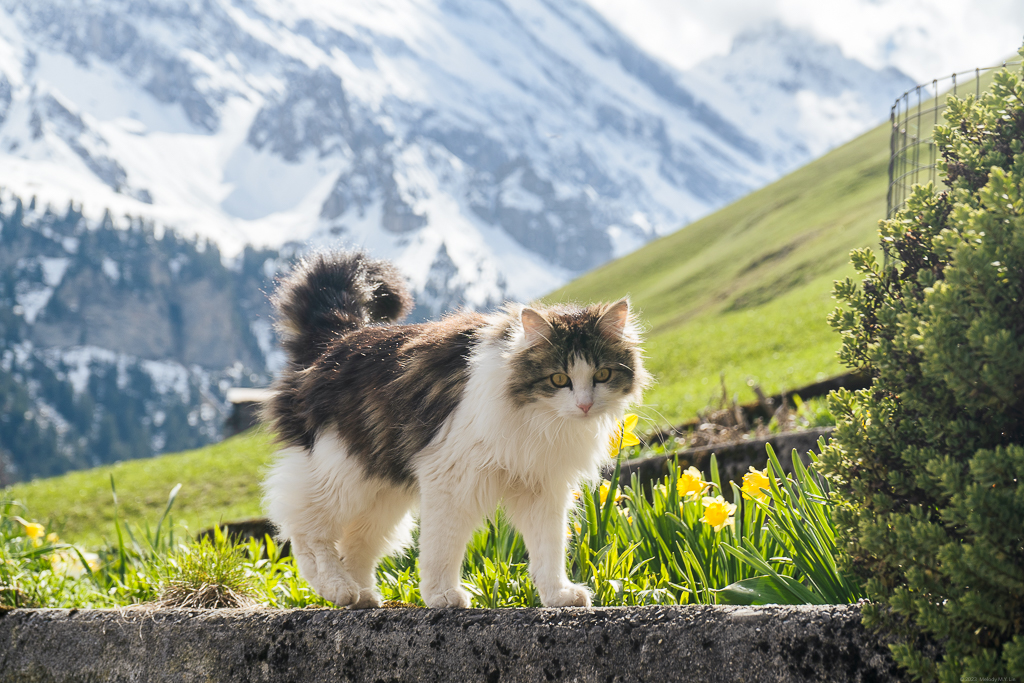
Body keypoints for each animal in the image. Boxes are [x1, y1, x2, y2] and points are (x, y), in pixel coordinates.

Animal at [264, 250, 647, 610]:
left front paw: (558, 595)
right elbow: (441, 547)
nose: (584, 405)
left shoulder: (541, 485)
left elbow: (548, 548)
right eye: (558, 379)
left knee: (355, 544)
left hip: (382, 493)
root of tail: (338, 340)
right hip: (341, 474)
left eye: (602, 375)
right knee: (308, 532)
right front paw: (442, 595)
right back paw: (336, 587)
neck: (538, 418)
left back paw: (363, 596)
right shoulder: (451, 476)